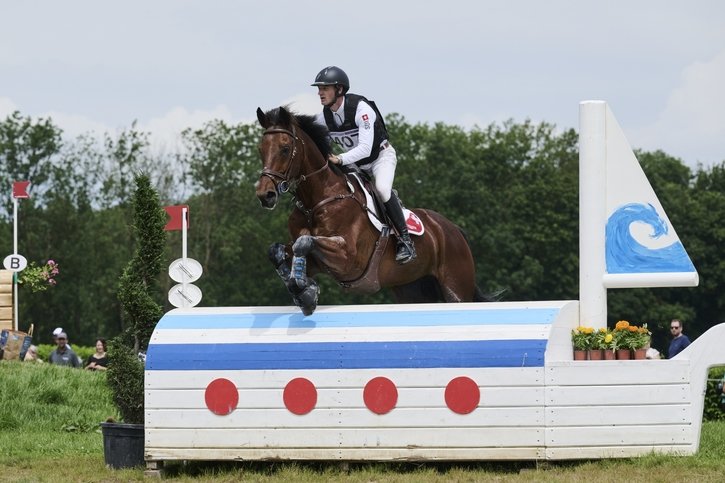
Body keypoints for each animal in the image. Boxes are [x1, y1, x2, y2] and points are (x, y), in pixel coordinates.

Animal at [255, 106, 486, 316]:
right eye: (261, 149)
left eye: (285, 149)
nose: (265, 195)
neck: (316, 201)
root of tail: (452, 229)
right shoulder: (316, 262)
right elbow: (277, 250)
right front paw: (303, 292)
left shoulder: (347, 257)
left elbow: (304, 242)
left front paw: (306, 293)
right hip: (411, 289)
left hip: (456, 287)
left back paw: (406, 248)